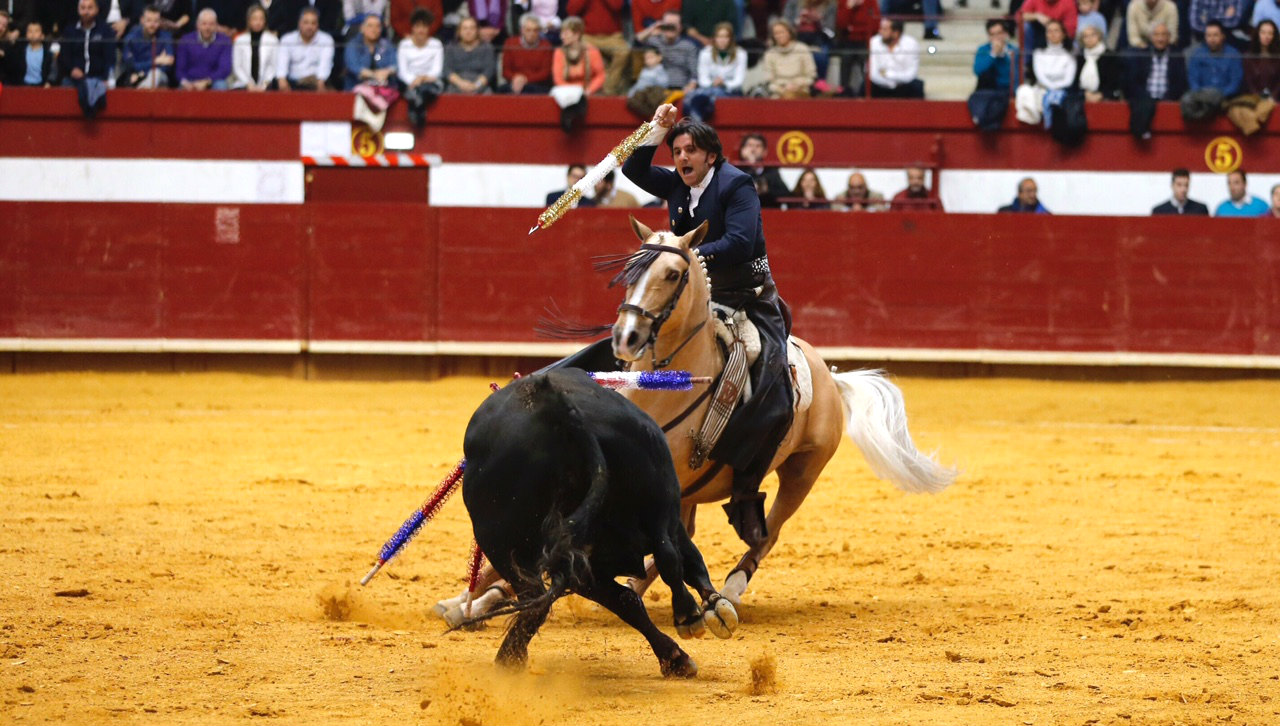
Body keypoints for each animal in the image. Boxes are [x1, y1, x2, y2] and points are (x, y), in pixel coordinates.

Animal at [435, 216, 957, 624]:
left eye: (672, 273)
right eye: (628, 271)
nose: (625, 336)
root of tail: (830, 376)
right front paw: (469, 600)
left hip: (802, 472)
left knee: (766, 532)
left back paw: (726, 593)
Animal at [463, 371, 742, 681]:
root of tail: (564, 411)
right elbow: (640, 591)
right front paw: (677, 655)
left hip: (500, 539)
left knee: (535, 599)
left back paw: (509, 659)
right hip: (654, 505)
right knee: (668, 555)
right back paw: (691, 613)